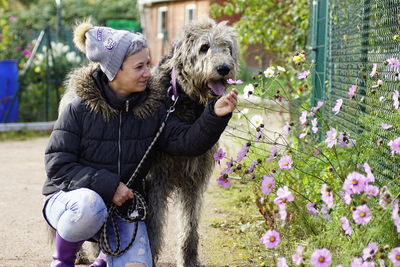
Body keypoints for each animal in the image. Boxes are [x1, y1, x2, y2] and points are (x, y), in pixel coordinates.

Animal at [146, 18, 238, 267]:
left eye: (227, 47)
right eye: (204, 47)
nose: (224, 68)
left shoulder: (194, 178)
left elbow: (190, 224)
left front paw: (189, 259)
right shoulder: (156, 179)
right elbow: (153, 226)